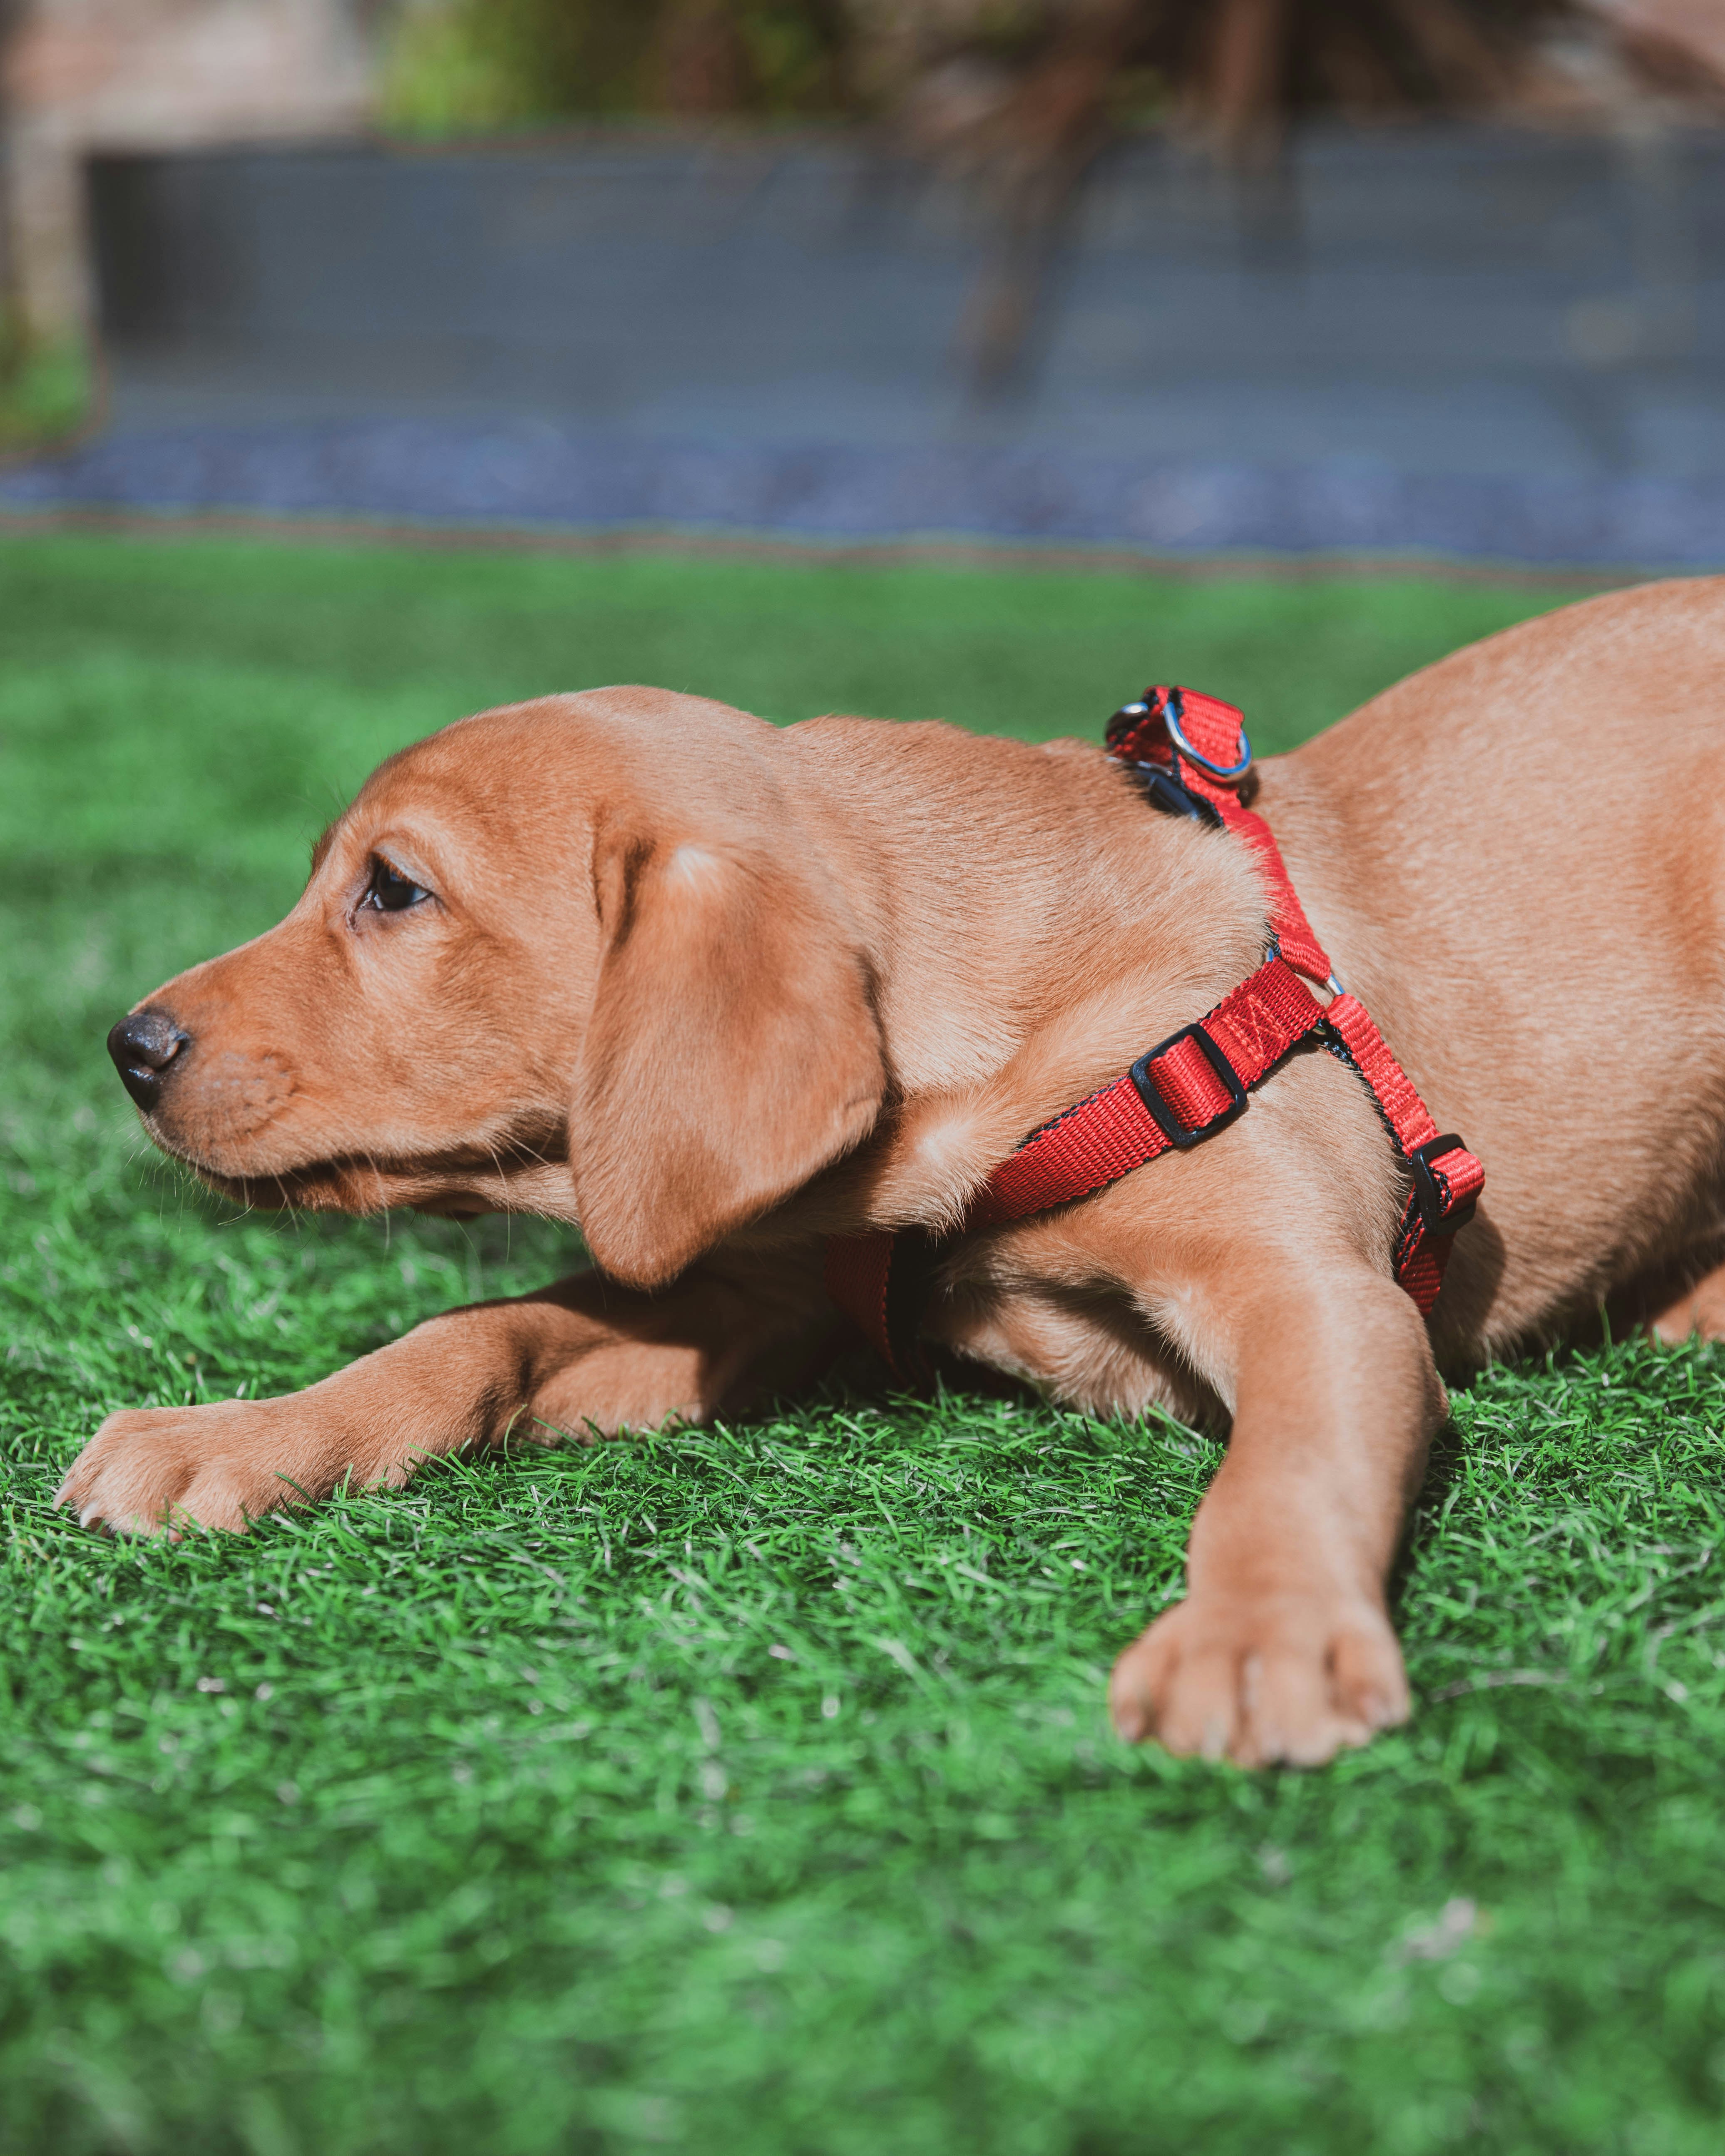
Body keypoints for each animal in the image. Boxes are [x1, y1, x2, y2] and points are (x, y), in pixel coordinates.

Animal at [60, 582, 1725, 1759]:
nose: (129, 1044)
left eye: (395, 891)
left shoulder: (1317, 1291)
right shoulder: (760, 1289)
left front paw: (1252, 1637)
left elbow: (1282, 1466)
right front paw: (241, 1433)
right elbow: (482, 1331)